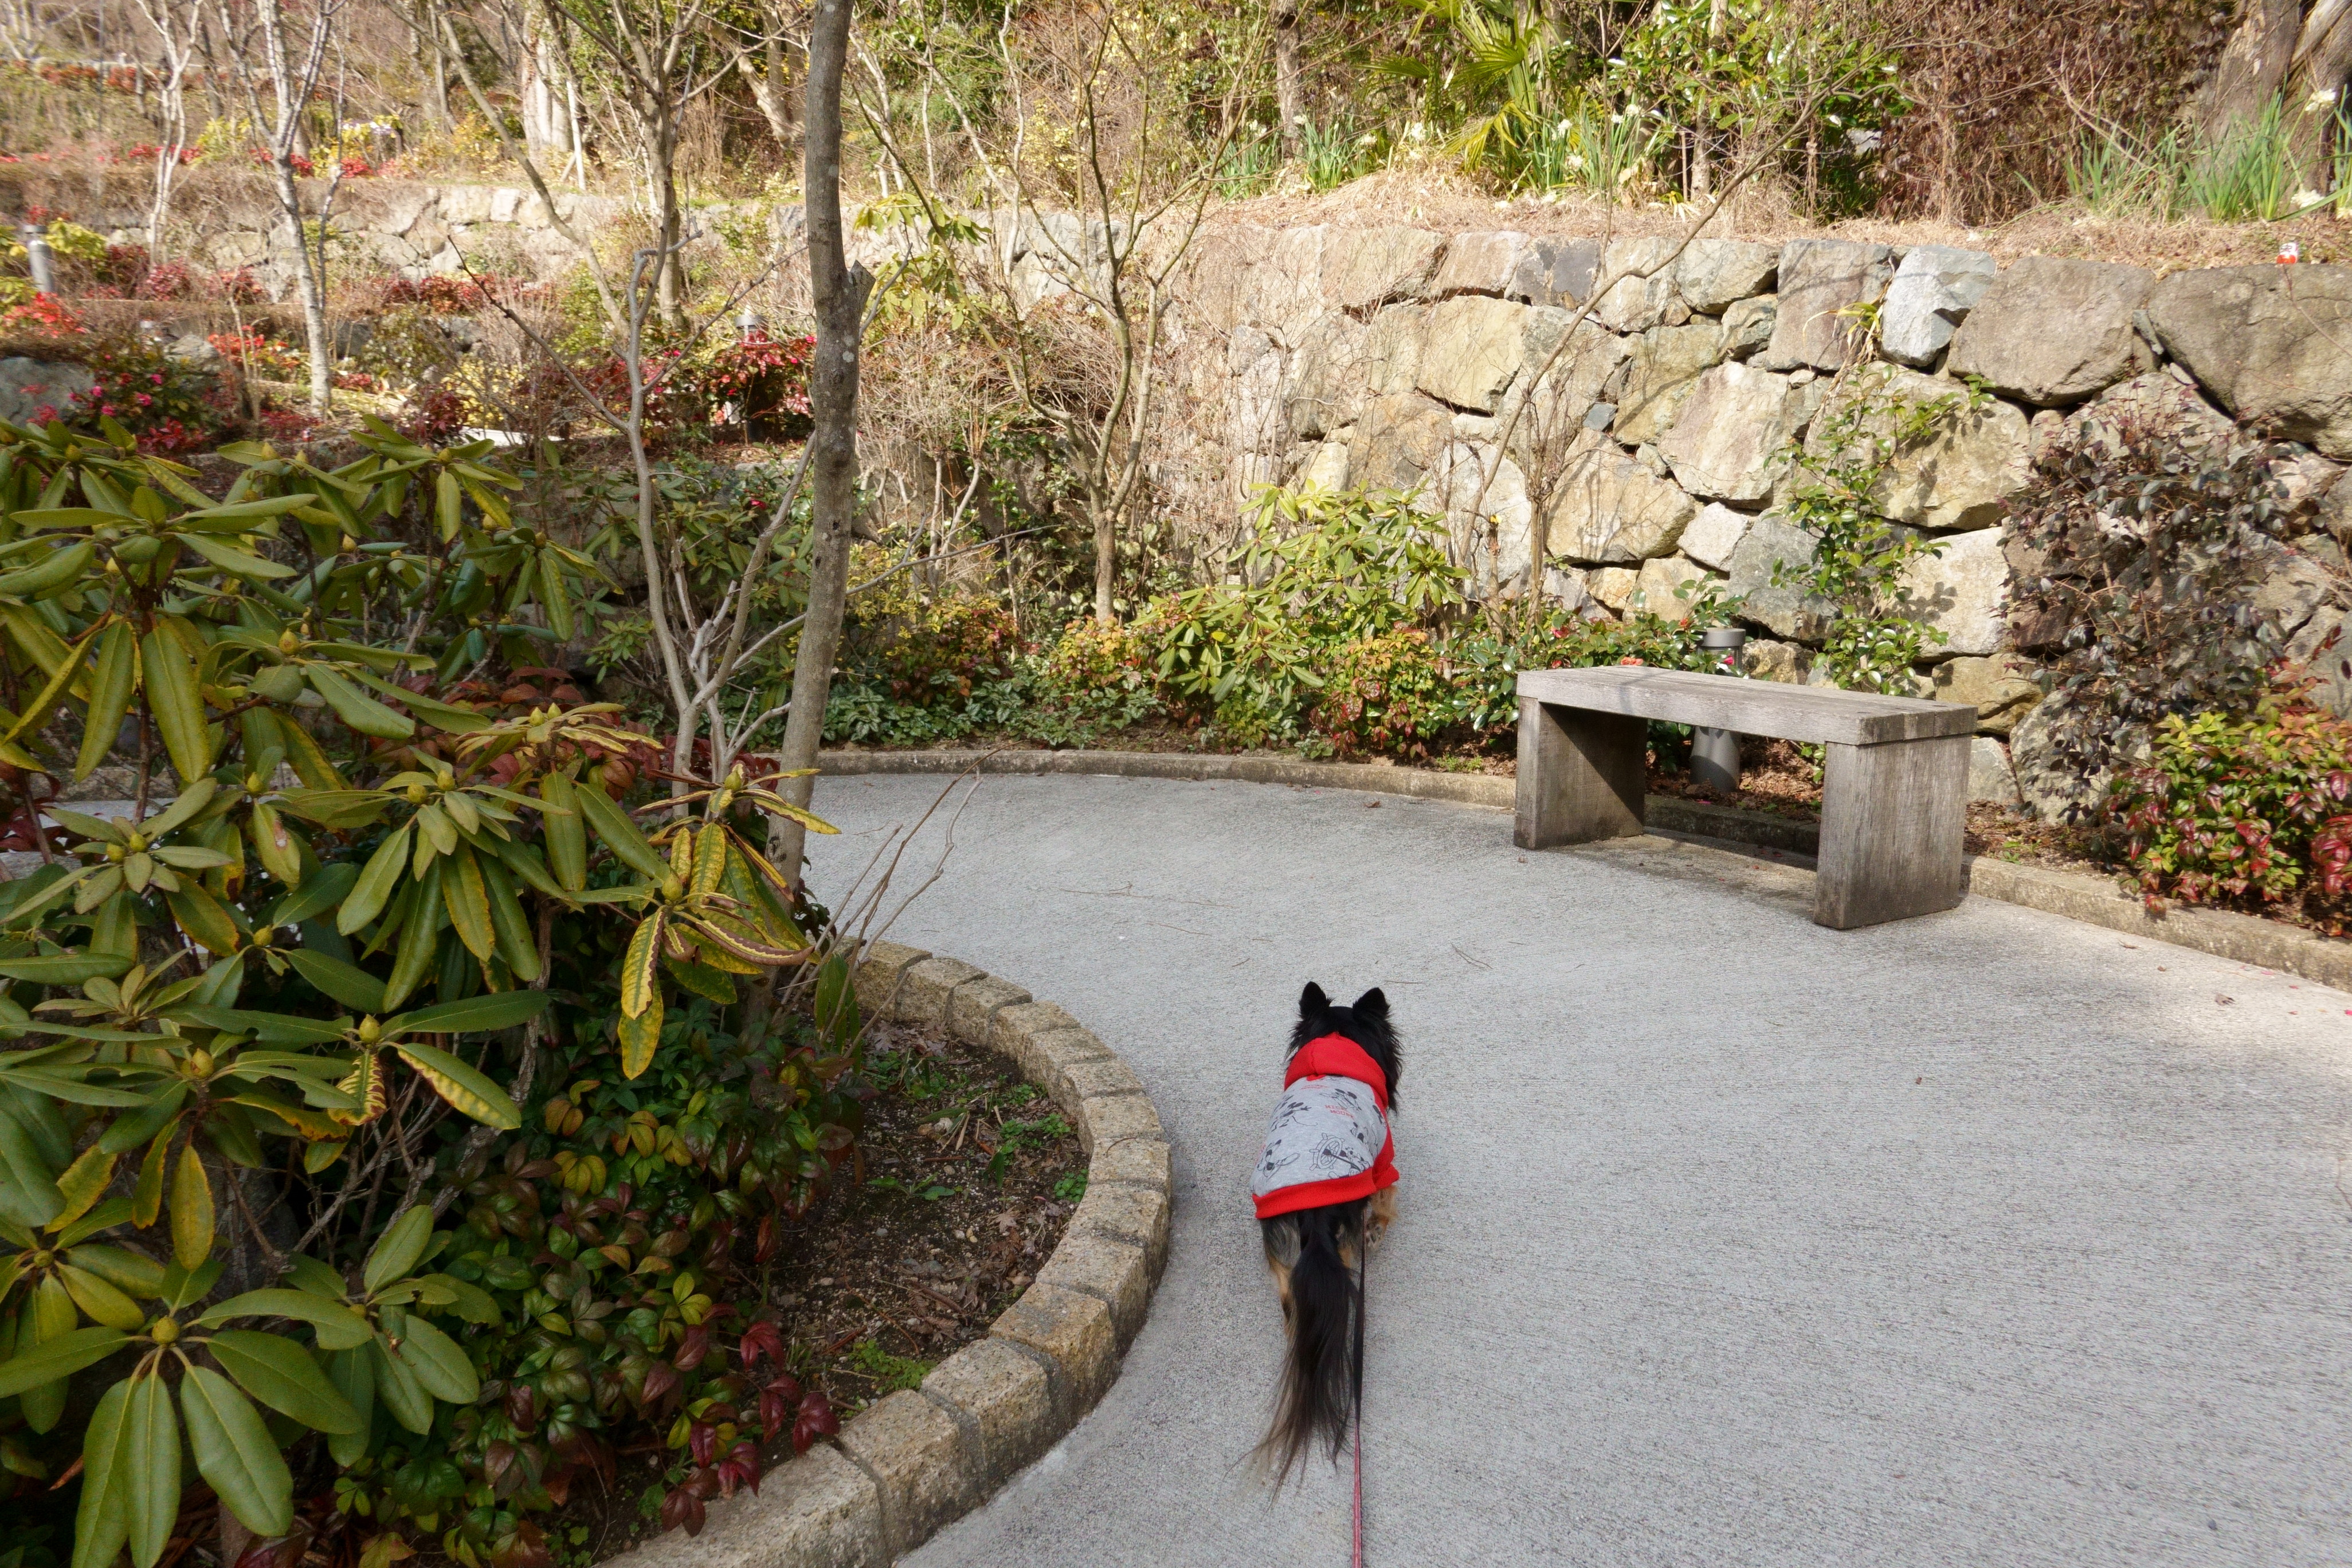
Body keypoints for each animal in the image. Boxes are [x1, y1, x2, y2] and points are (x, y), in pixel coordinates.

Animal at [1251, 982, 1392, 1485]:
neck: (1335, 1044)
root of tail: (1312, 1208)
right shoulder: (1384, 1161)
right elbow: (1388, 1197)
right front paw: (1381, 1228)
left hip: (1279, 1248)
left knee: (1289, 1297)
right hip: (1344, 1236)